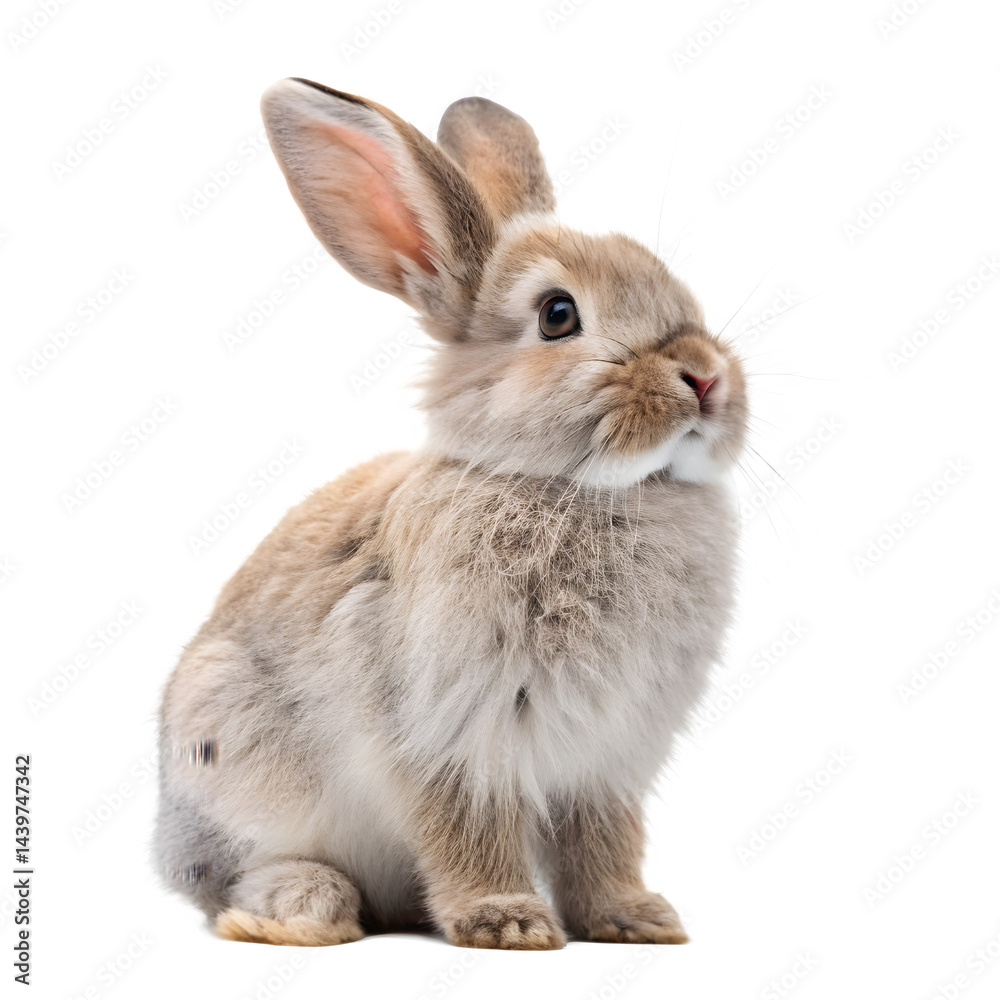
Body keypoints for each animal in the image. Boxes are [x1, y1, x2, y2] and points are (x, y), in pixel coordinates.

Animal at [154, 77, 748, 950]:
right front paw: (509, 923)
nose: (704, 377)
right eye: (558, 315)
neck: (586, 489)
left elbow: (603, 843)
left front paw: (635, 919)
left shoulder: (605, 763)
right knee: (231, 876)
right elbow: (468, 830)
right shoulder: (451, 736)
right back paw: (304, 907)